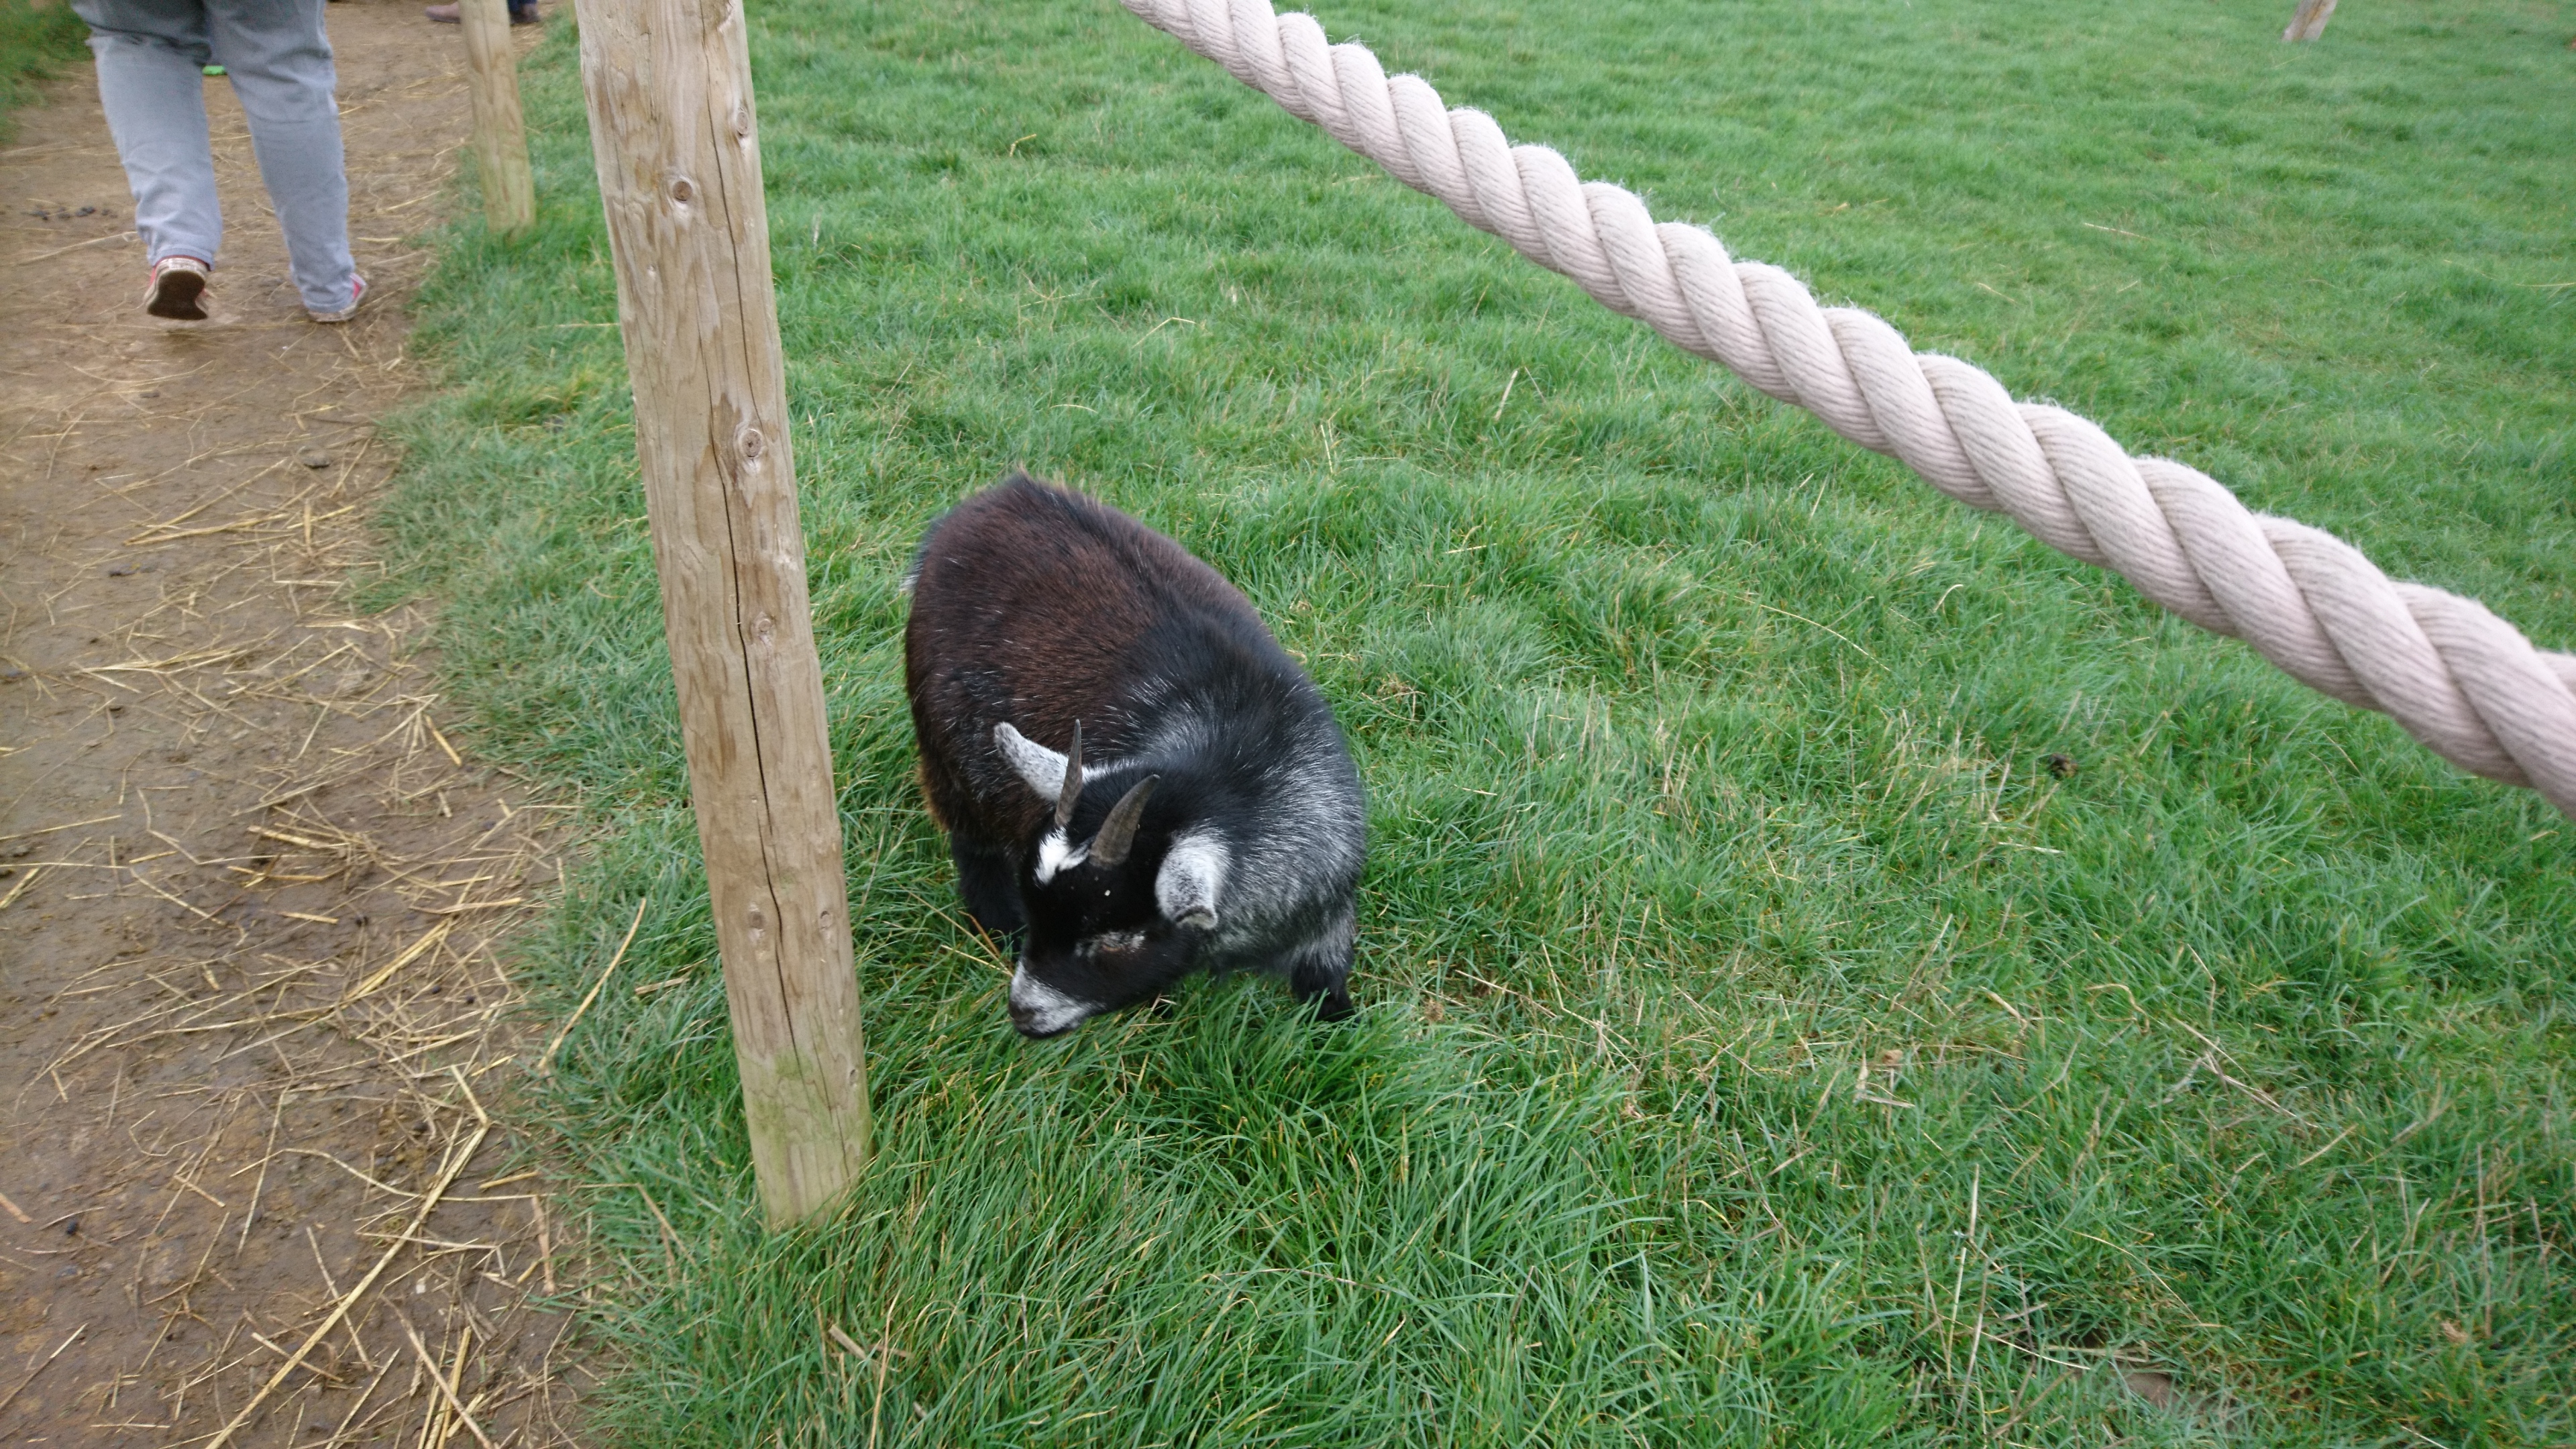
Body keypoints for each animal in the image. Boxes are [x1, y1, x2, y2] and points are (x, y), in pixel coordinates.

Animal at [904, 473, 1367, 1037]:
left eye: (1114, 940)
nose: (1024, 1014)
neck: (1240, 759)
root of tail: (998, 496)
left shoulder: (1325, 923)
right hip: (951, 753)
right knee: (972, 842)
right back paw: (996, 925)